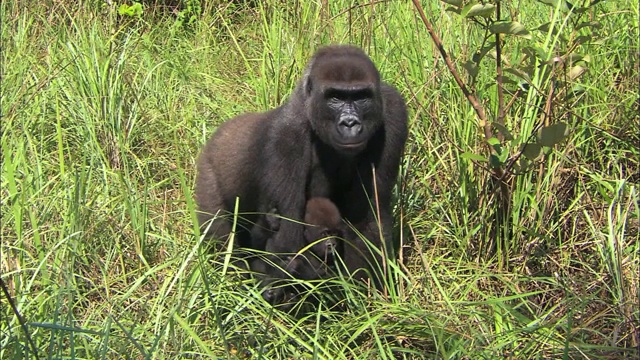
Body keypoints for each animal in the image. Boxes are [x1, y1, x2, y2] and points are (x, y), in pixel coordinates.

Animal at [194, 45, 410, 286]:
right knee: (220, 236)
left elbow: (368, 219)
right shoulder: (284, 136)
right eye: (335, 97)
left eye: (361, 96)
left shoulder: (393, 111)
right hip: (208, 172)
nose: (350, 123)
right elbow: (287, 238)